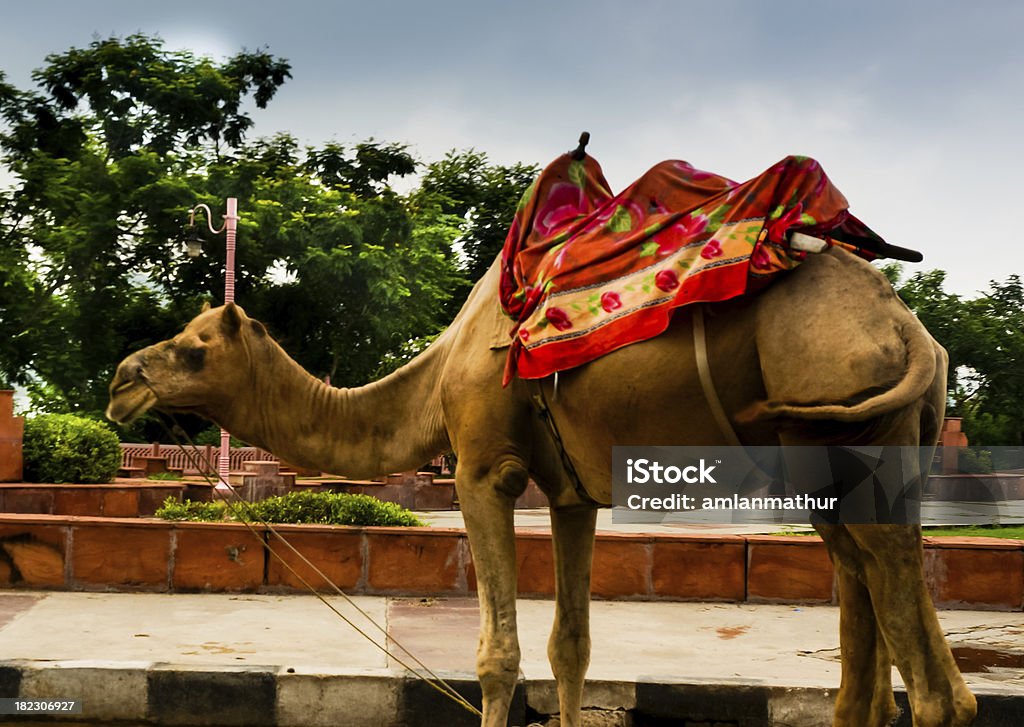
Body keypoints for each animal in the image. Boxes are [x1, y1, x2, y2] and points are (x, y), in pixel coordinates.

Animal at [105, 247, 974, 724]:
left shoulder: (485, 468)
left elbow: (499, 656)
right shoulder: (571, 492)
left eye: (192, 347)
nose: (120, 381)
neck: (435, 380)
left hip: (843, 407)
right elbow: (572, 647)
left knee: (918, 655)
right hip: (854, 441)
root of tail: (909, 332)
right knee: (877, 589)